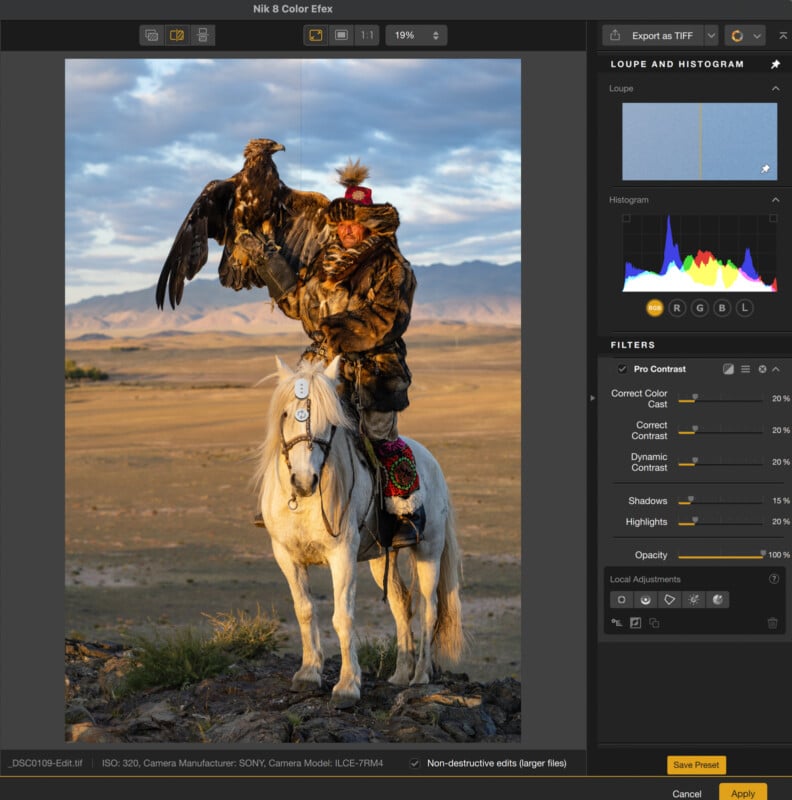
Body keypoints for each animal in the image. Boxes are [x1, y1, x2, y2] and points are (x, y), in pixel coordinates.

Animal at [254, 354, 464, 708]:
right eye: (285, 414)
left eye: (329, 420)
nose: (303, 481)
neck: (306, 504)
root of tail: (431, 461)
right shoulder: (286, 556)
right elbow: (305, 611)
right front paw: (308, 674)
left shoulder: (342, 556)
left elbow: (343, 616)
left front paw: (348, 686)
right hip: (381, 556)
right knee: (401, 604)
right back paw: (400, 674)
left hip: (428, 551)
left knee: (429, 608)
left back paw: (421, 676)